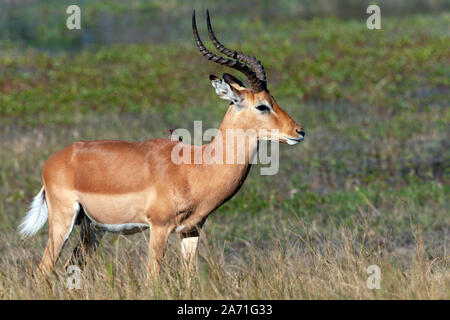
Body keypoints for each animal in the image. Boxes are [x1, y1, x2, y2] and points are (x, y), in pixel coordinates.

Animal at [18, 11, 306, 274]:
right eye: (262, 105)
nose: (299, 131)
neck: (197, 167)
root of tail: (55, 160)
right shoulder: (159, 227)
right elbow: (152, 278)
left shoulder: (191, 230)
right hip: (63, 222)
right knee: (44, 270)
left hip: (93, 229)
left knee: (71, 268)